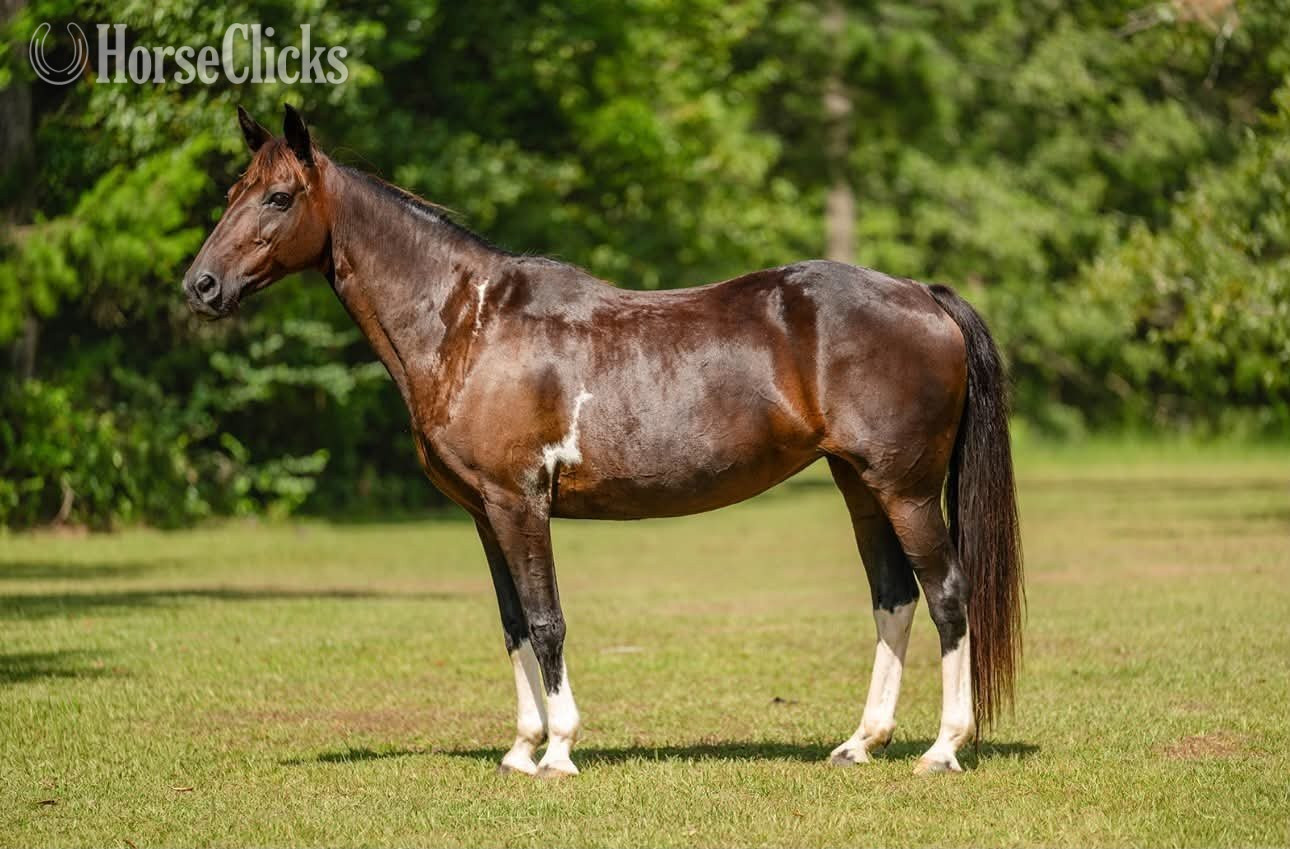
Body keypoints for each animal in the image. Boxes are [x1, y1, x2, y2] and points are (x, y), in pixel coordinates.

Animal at [183, 106, 1023, 778]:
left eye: (279, 196)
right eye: (231, 194)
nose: (200, 286)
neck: (470, 323)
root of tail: (923, 296)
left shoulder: (520, 502)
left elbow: (547, 618)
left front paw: (558, 750)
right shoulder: (484, 512)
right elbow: (513, 622)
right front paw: (520, 748)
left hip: (905, 488)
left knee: (947, 595)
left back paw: (941, 748)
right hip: (859, 484)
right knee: (894, 596)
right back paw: (860, 742)